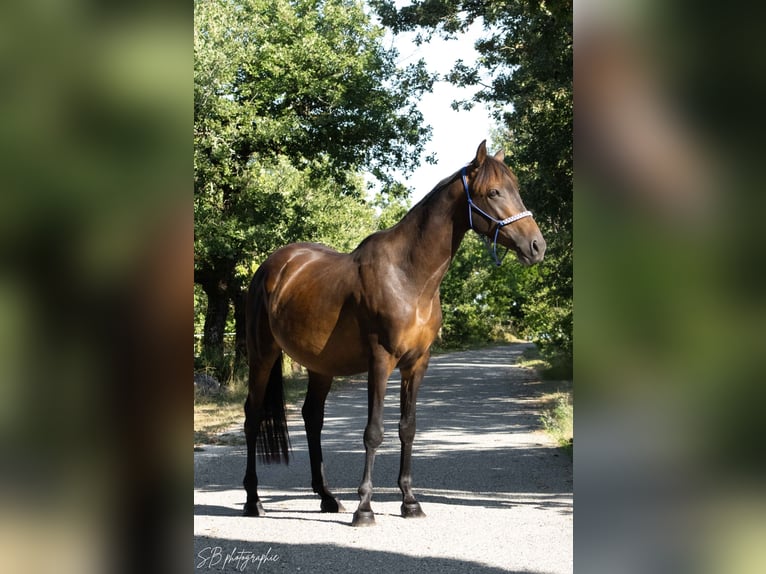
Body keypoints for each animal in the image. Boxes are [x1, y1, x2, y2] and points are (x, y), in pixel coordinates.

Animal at [244, 140, 544, 528]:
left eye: (516, 189)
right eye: (493, 192)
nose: (537, 246)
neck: (408, 276)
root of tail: (272, 267)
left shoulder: (417, 364)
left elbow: (407, 428)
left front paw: (410, 502)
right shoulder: (380, 361)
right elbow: (374, 432)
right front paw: (365, 508)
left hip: (320, 366)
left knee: (313, 417)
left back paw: (327, 497)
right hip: (262, 355)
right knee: (253, 416)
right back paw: (254, 500)